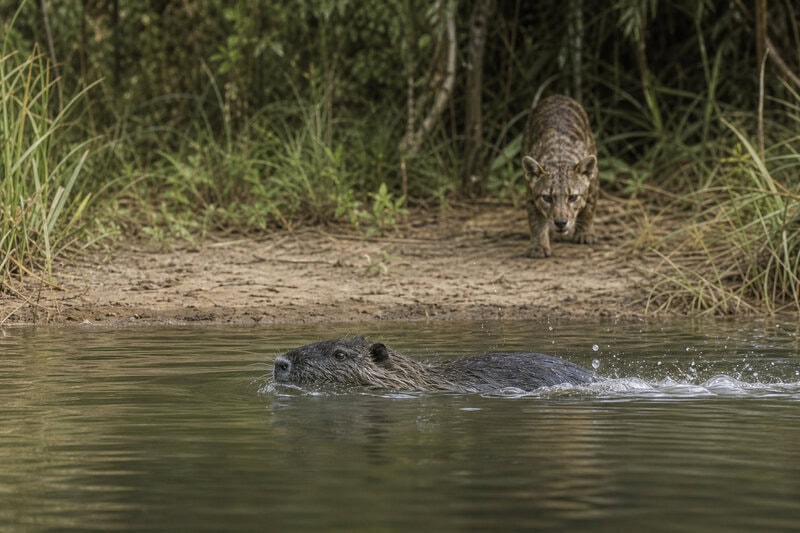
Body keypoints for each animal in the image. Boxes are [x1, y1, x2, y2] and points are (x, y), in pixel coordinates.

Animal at [521, 94, 599, 258]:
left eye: (573, 197)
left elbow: (589, 207)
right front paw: (538, 246)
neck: (559, 157)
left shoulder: (593, 182)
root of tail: (557, 96)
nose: (561, 223)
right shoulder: (531, 195)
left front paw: (585, 233)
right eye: (547, 198)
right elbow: (536, 222)